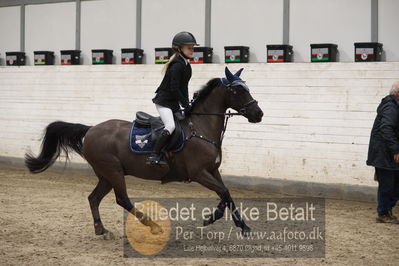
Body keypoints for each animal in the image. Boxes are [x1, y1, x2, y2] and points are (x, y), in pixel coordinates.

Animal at [24, 66, 262, 237]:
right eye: (238, 90)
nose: (258, 114)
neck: (200, 128)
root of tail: (91, 129)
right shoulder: (199, 173)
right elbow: (224, 193)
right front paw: (214, 219)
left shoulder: (213, 171)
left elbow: (226, 194)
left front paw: (240, 226)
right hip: (113, 171)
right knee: (122, 199)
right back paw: (153, 226)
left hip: (106, 174)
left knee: (93, 198)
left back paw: (101, 229)